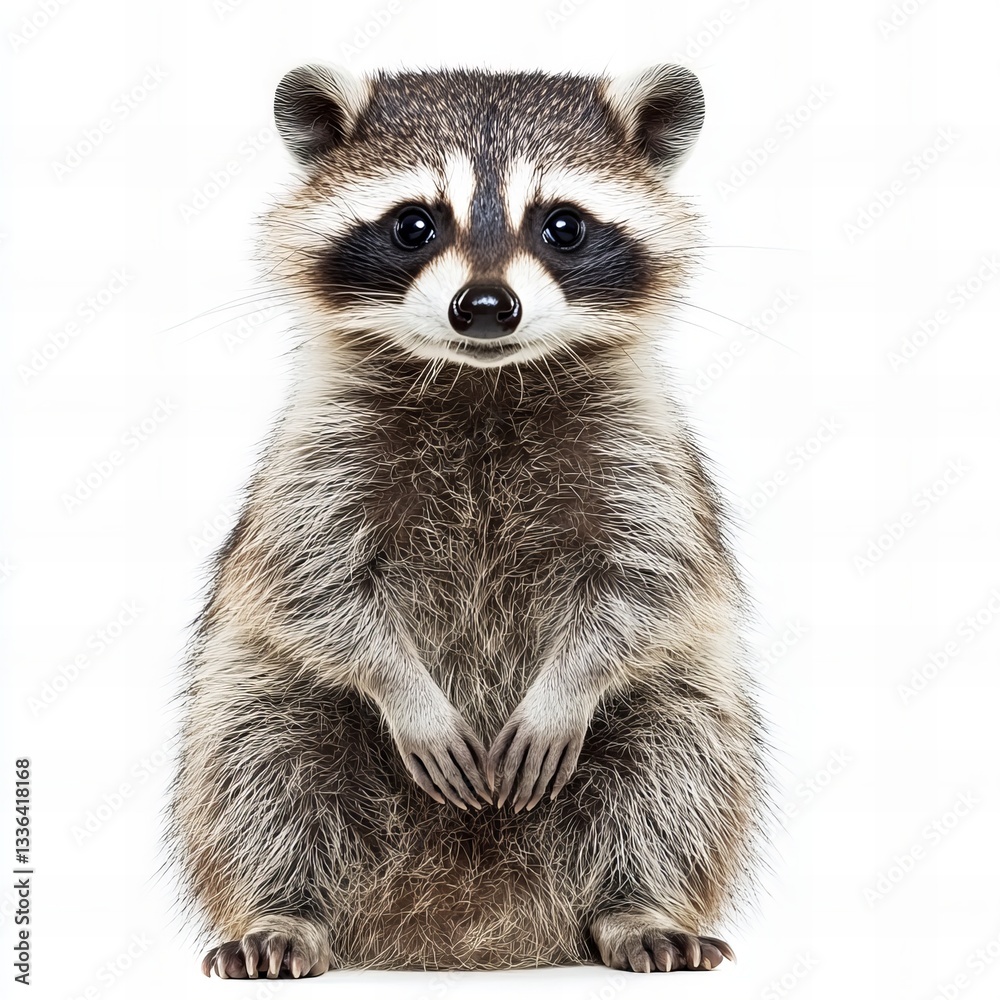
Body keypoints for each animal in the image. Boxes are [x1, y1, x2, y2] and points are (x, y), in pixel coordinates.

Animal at [170, 63, 768, 978]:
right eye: (414, 224)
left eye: (563, 226)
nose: (485, 305)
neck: (483, 381)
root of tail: (461, 929)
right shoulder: (318, 457)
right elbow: (312, 586)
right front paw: (403, 688)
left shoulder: (645, 453)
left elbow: (648, 585)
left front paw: (567, 688)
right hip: (259, 691)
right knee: (260, 765)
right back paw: (285, 909)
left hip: (675, 710)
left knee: (677, 758)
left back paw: (636, 903)